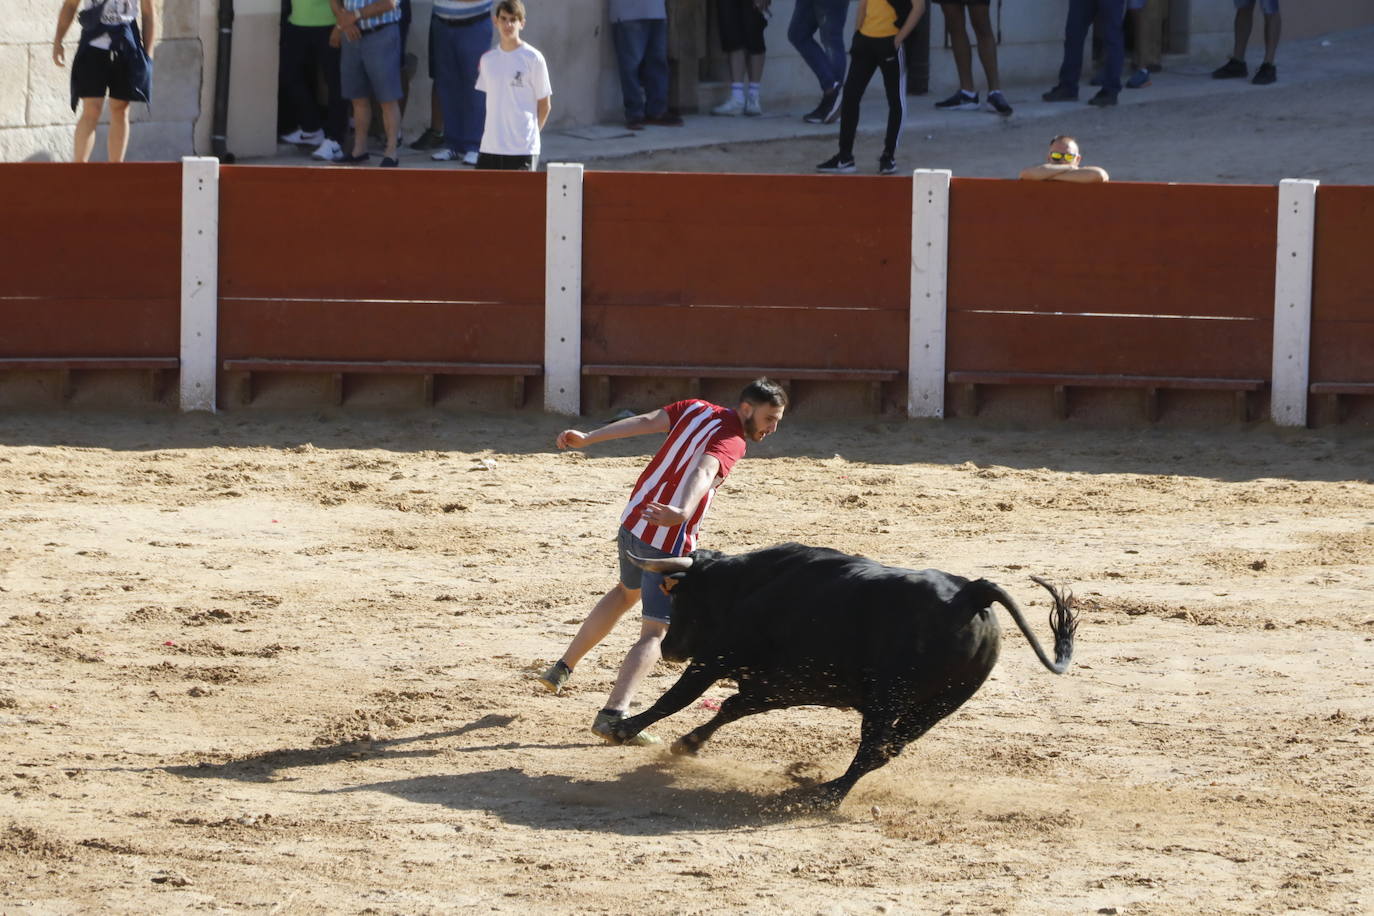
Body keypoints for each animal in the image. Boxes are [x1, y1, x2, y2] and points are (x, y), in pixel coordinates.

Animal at [618, 543, 1077, 807]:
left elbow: (679, 696)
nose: (669, 649)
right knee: (887, 749)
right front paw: (688, 743)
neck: (749, 584)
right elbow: (733, 706)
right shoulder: (783, 683)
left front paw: (625, 728)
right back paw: (823, 786)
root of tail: (972, 593)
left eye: (680, 595)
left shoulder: (720, 655)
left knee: (874, 746)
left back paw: (827, 794)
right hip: (938, 705)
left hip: (889, 697)